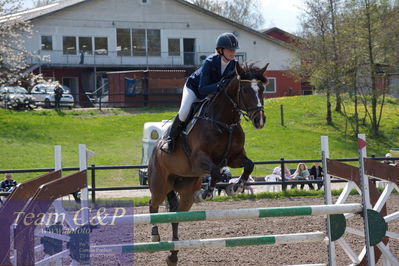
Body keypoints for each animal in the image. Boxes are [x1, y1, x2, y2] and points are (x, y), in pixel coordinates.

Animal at [147, 62, 268, 266]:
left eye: (262, 89)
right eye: (245, 90)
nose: (260, 120)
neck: (224, 122)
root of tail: (155, 149)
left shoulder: (235, 157)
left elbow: (249, 165)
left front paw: (235, 187)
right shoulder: (199, 159)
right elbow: (216, 171)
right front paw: (207, 192)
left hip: (185, 190)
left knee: (175, 215)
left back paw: (173, 255)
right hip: (160, 184)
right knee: (153, 205)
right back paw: (155, 235)